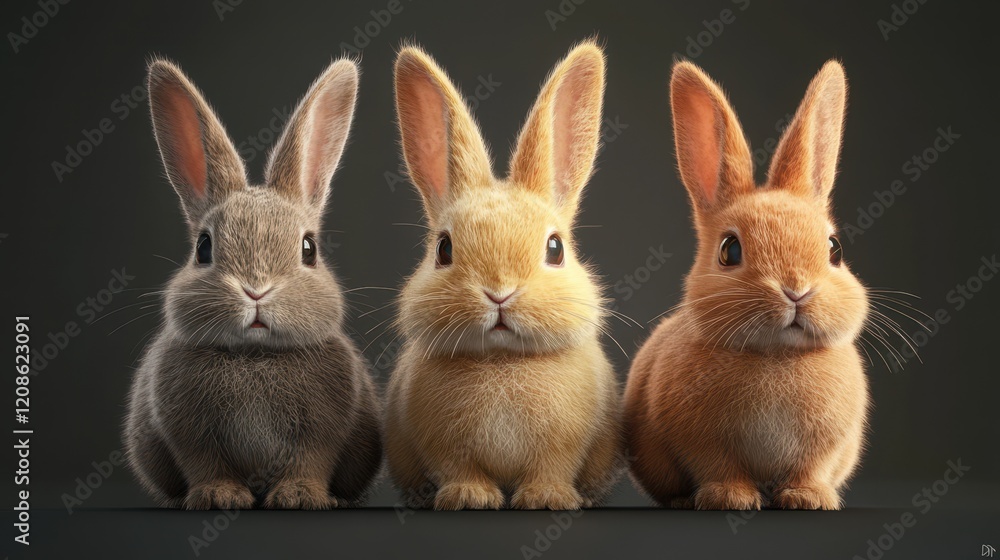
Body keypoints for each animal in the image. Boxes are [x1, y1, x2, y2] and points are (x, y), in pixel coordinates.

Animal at [123, 57, 382, 510]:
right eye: (203, 247)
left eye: (309, 248)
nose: (256, 290)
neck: (255, 354)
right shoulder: (190, 436)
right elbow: (205, 465)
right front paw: (218, 496)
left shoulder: (321, 435)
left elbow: (310, 461)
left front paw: (299, 496)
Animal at [384, 41, 624, 511]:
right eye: (443, 249)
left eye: (555, 249)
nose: (499, 294)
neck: (502, 359)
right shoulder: (445, 449)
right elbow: (459, 469)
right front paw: (469, 497)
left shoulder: (563, 448)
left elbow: (552, 469)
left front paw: (546, 498)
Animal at [624, 60, 870, 511]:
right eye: (729, 250)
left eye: (835, 249)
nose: (795, 290)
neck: (776, 354)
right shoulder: (701, 443)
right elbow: (720, 467)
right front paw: (731, 498)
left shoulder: (823, 448)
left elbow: (811, 469)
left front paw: (808, 498)